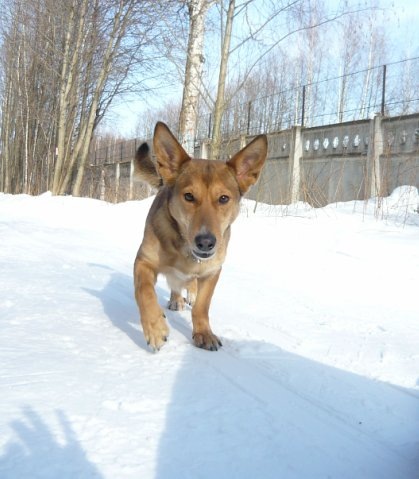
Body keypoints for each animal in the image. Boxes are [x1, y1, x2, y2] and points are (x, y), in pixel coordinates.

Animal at [133, 122, 267, 351]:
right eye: (188, 196)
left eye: (223, 198)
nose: (205, 242)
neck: (185, 250)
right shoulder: (143, 261)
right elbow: (145, 291)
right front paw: (155, 328)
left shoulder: (213, 272)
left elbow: (202, 306)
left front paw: (203, 332)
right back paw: (176, 299)